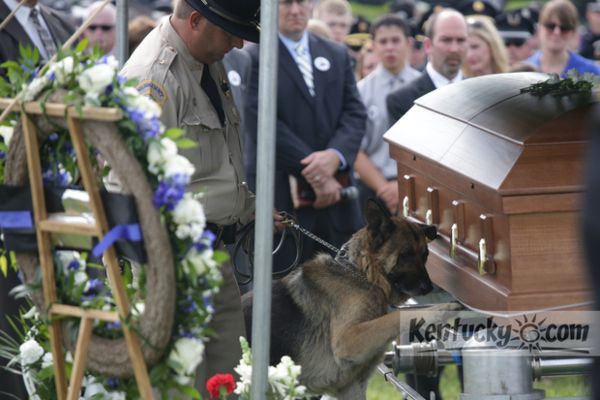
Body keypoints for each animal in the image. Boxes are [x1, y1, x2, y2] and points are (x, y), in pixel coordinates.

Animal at [244, 202, 440, 398]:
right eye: (405, 254)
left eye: (425, 255)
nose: (429, 287)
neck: (362, 274)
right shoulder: (348, 339)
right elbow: (397, 316)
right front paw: (440, 310)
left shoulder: (352, 386)